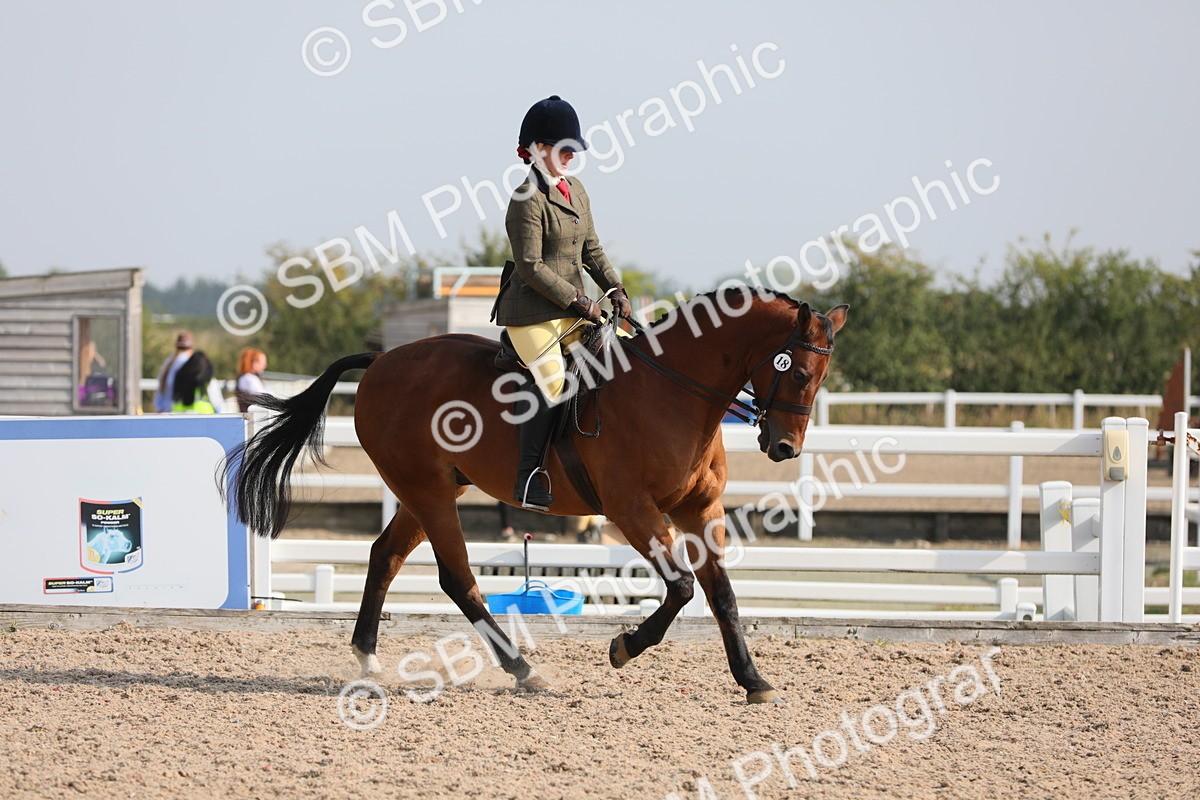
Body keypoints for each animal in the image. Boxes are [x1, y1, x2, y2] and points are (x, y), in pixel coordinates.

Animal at [223, 287, 847, 704]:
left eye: (821, 379)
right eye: (796, 372)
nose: (784, 447)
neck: (671, 391)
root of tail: (380, 361)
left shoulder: (699, 508)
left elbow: (722, 595)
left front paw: (753, 680)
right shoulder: (632, 509)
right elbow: (681, 587)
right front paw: (624, 647)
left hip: (425, 491)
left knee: (386, 557)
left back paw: (369, 658)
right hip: (428, 491)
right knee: (457, 578)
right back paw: (524, 670)